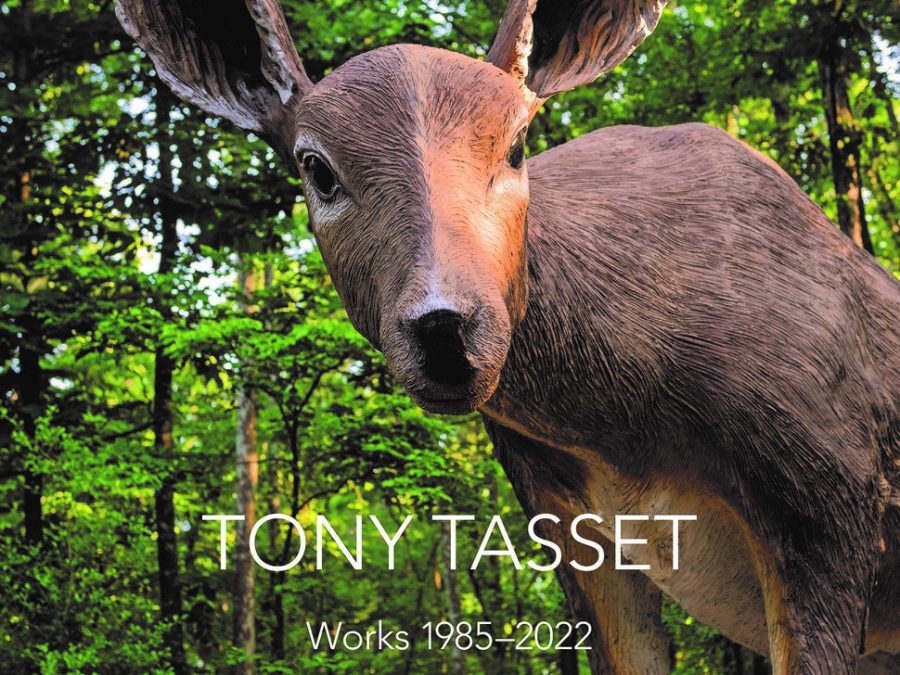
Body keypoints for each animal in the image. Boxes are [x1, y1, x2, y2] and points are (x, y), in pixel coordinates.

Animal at [114, 1, 900, 672]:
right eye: (316, 167)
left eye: (518, 143)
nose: (444, 328)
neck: (632, 422)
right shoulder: (566, 514)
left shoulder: (830, 484)